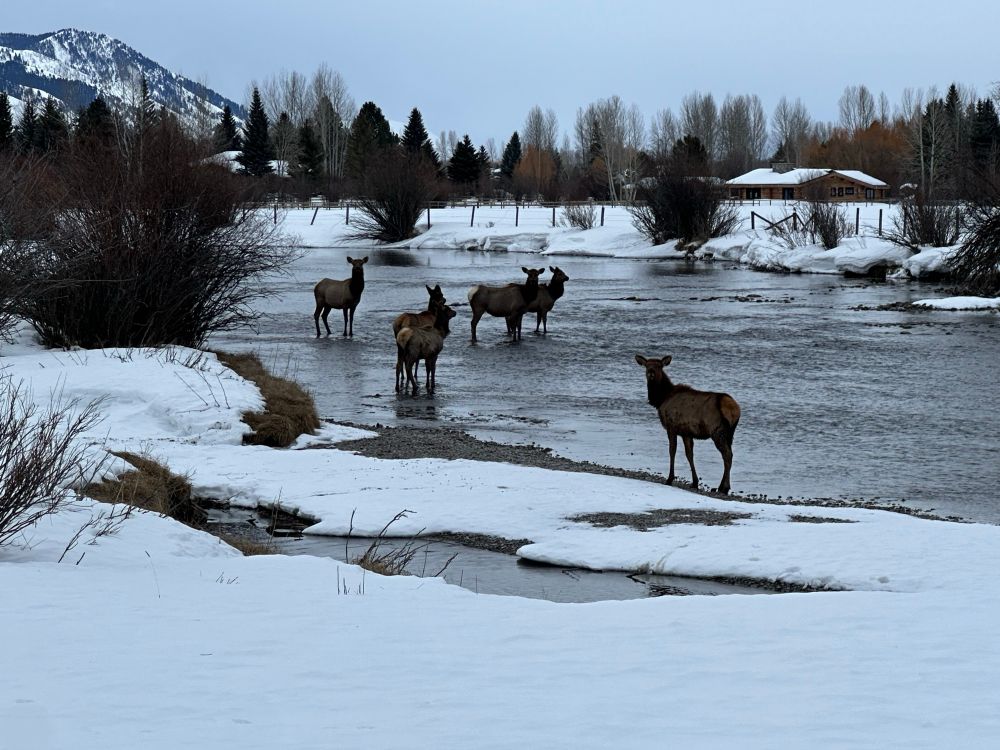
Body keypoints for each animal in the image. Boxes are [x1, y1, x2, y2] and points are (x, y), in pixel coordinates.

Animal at [634, 354, 741, 494]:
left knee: (727, 455)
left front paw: (669, 479)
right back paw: (721, 486)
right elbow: (689, 454)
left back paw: (724, 487)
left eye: (659, 366)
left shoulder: (671, 427)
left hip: (717, 431)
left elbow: (672, 451)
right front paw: (695, 482)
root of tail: (734, 409)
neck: (661, 399)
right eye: (647, 365)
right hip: (730, 433)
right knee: (729, 454)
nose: (650, 373)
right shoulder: (686, 432)